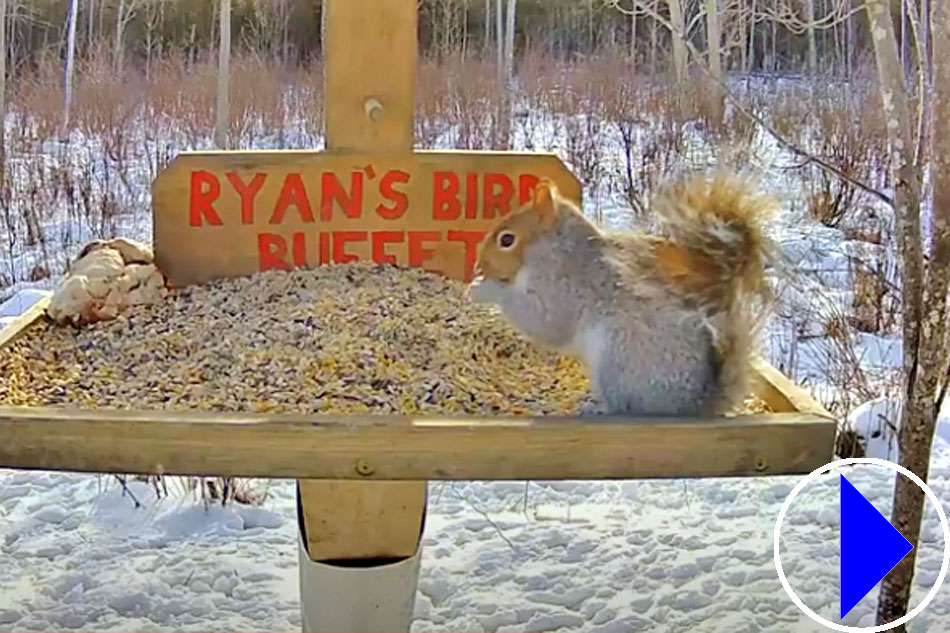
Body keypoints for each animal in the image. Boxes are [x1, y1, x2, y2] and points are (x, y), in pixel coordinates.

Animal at [468, 173, 780, 418]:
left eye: (507, 239)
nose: (478, 265)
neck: (555, 249)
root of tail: (692, 405)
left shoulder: (563, 288)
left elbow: (544, 320)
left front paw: (484, 289)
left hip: (617, 359)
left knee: (625, 406)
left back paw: (596, 407)